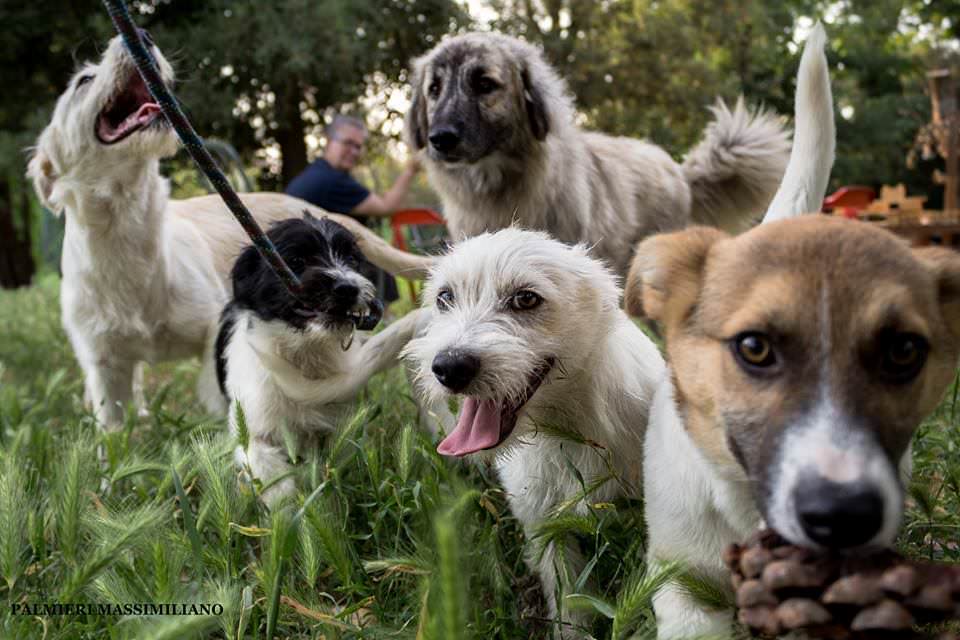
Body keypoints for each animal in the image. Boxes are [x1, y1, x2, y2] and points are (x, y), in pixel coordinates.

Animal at [218, 215, 428, 504]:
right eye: (296, 260)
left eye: (351, 259)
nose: (348, 288)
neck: (304, 352)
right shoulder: (253, 421)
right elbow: (265, 462)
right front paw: (286, 505)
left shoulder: (339, 418)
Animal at [404, 230, 668, 636]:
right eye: (444, 297)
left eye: (525, 298)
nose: (448, 367)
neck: (568, 427)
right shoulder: (546, 528)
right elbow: (568, 598)